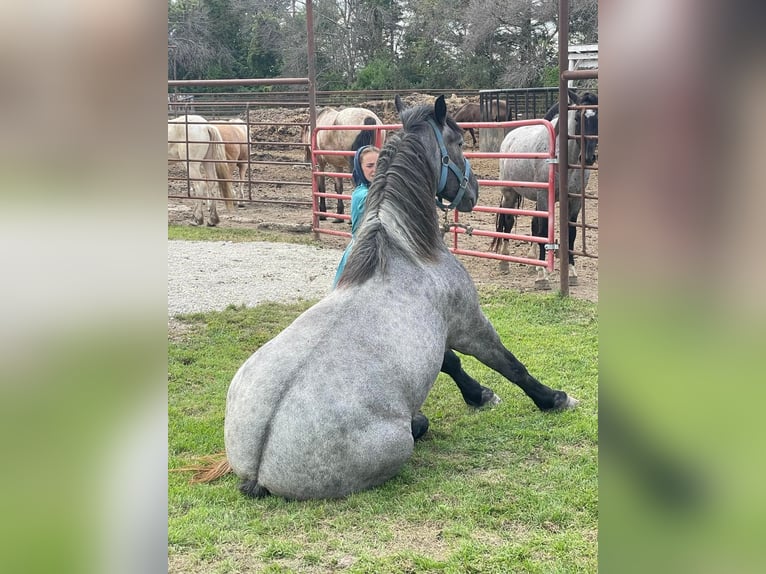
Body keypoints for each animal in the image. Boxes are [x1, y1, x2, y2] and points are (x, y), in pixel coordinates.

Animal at [222, 94, 576, 500]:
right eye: (457, 141)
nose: (473, 190)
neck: (404, 250)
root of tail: (260, 464)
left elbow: (450, 363)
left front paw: (479, 394)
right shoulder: (469, 324)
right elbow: (509, 364)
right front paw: (552, 398)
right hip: (398, 444)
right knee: (418, 428)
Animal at [492, 91, 600, 290]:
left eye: (597, 119)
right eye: (577, 119)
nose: (588, 157)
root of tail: (509, 137)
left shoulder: (574, 200)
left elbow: (570, 233)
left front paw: (571, 272)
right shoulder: (544, 196)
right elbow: (543, 230)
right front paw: (542, 276)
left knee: (533, 224)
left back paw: (531, 261)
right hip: (510, 193)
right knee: (507, 220)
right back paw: (504, 261)